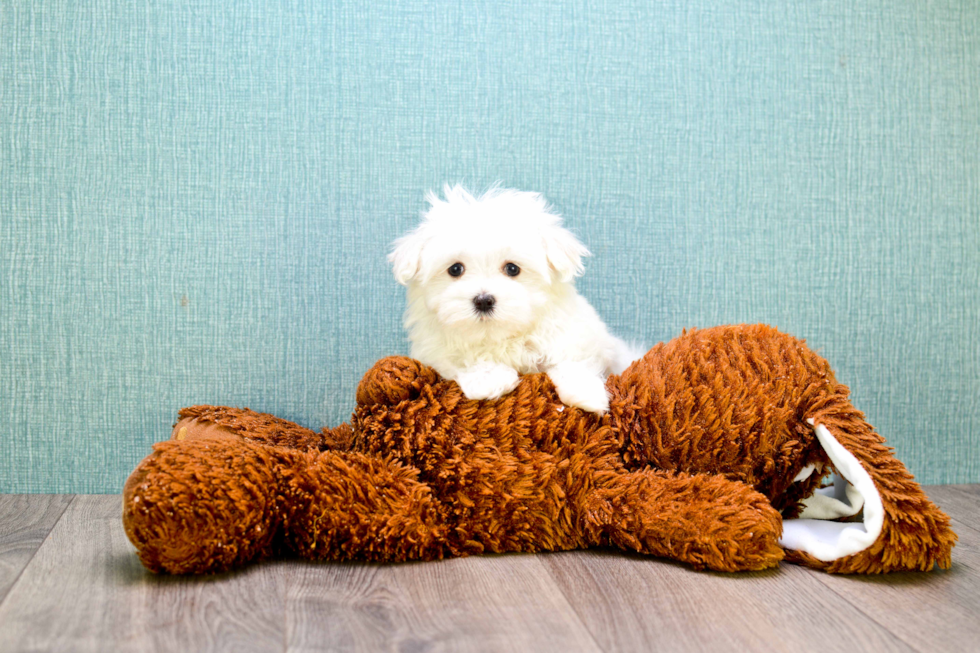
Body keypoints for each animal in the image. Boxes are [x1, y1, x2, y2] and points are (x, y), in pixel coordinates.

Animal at [390, 183, 644, 412]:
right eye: (455, 269)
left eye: (512, 269)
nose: (484, 300)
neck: (501, 338)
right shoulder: (435, 353)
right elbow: (462, 359)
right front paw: (488, 379)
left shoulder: (575, 335)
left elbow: (572, 359)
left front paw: (585, 393)